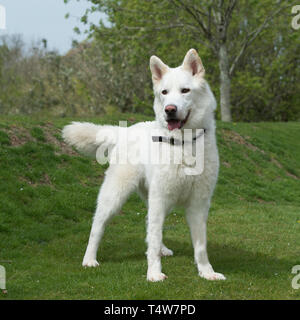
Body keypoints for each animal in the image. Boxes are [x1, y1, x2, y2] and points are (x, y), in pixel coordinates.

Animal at [62, 48, 225, 282]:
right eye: (164, 92)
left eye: (185, 90)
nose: (169, 110)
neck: (183, 144)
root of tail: (124, 130)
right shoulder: (161, 198)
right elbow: (153, 238)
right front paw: (154, 273)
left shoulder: (198, 205)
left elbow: (200, 246)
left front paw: (206, 272)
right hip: (115, 197)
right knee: (97, 227)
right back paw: (89, 259)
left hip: (156, 200)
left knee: (150, 224)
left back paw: (163, 250)